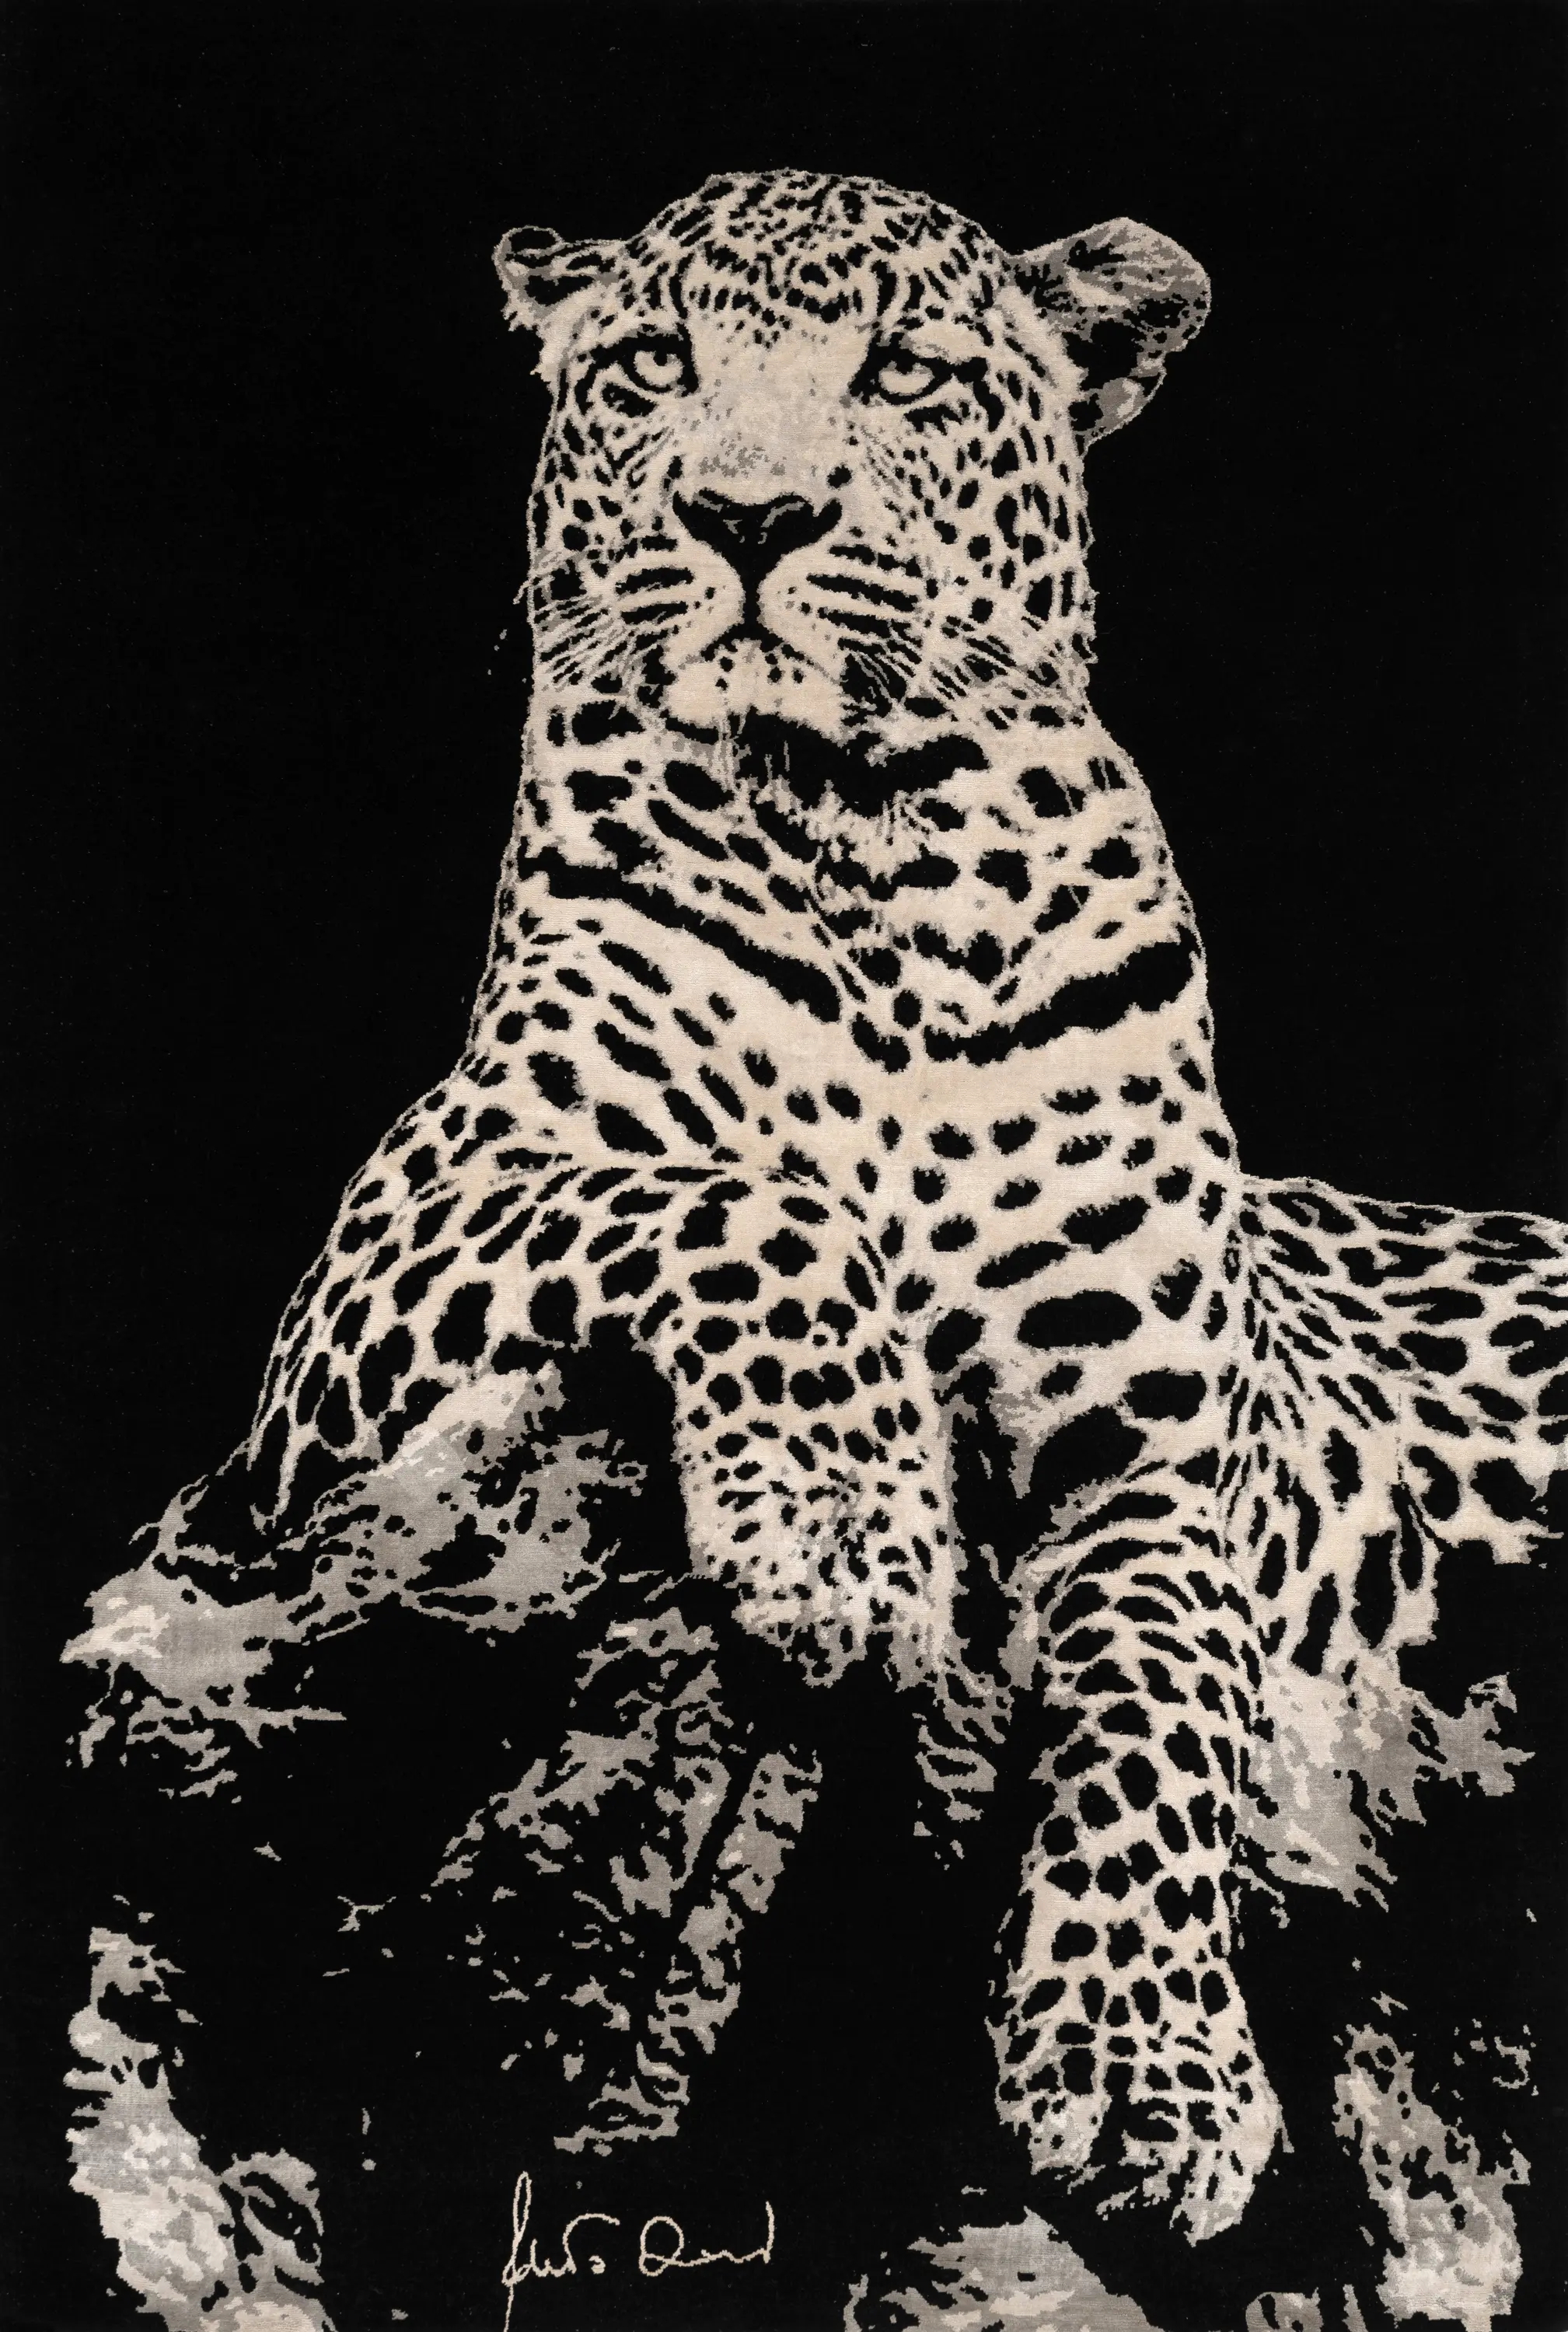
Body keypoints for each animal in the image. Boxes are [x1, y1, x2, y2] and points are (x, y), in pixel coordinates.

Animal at [69, 169, 1565, 2316]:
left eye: (906, 372)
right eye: (648, 365)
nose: (748, 515)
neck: (881, 876)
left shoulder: (1170, 1443)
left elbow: (1165, 1704)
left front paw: (1144, 2076)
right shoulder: (373, 1292)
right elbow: (746, 1200)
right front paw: (848, 1539)